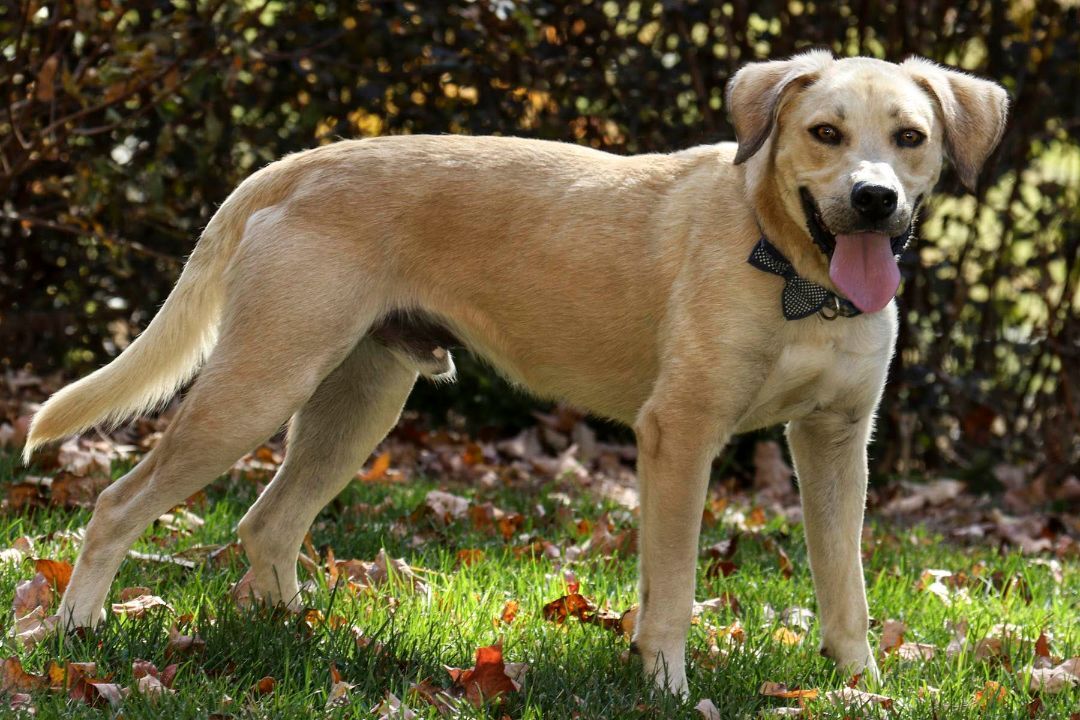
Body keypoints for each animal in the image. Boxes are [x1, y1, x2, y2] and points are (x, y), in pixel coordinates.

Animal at [23, 52, 1002, 699]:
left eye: (910, 138)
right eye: (824, 133)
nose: (874, 199)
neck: (797, 276)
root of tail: (295, 165)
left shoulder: (835, 443)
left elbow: (846, 590)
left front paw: (860, 685)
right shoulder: (680, 435)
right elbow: (675, 589)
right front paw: (668, 689)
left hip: (359, 402)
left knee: (268, 522)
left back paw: (296, 636)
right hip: (257, 387)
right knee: (117, 503)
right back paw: (78, 633)